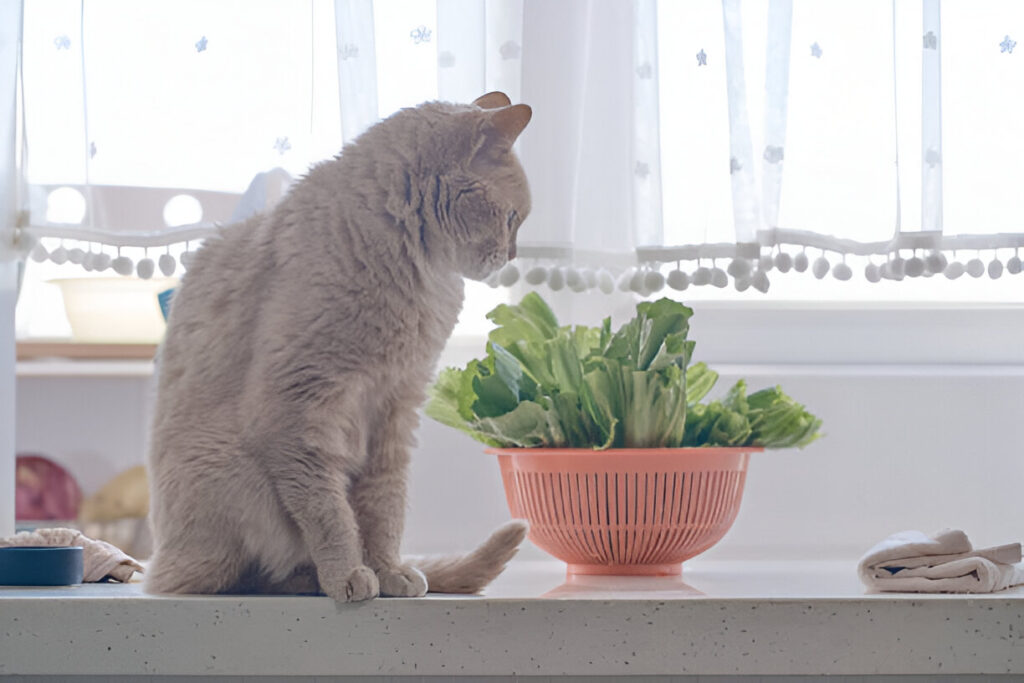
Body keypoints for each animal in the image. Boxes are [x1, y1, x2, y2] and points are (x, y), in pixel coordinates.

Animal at [147, 93, 532, 602]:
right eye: (511, 219)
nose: (512, 257)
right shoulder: (298, 412)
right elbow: (329, 512)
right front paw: (349, 574)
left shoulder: (396, 409)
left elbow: (384, 508)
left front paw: (389, 571)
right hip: (228, 480)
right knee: (241, 575)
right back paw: (311, 579)